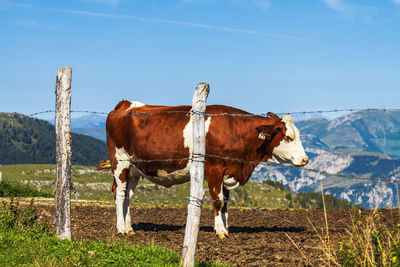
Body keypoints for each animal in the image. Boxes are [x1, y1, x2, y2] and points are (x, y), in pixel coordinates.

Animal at [97, 99, 310, 240]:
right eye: (288, 137)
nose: (305, 159)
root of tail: (125, 104)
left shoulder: (227, 172)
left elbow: (225, 203)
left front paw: (225, 228)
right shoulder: (214, 170)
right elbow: (217, 201)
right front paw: (220, 231)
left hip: (135, 170)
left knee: (128, 196)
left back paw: (129, 227)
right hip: (120, 161)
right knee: (119, 193)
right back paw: (121, 228)